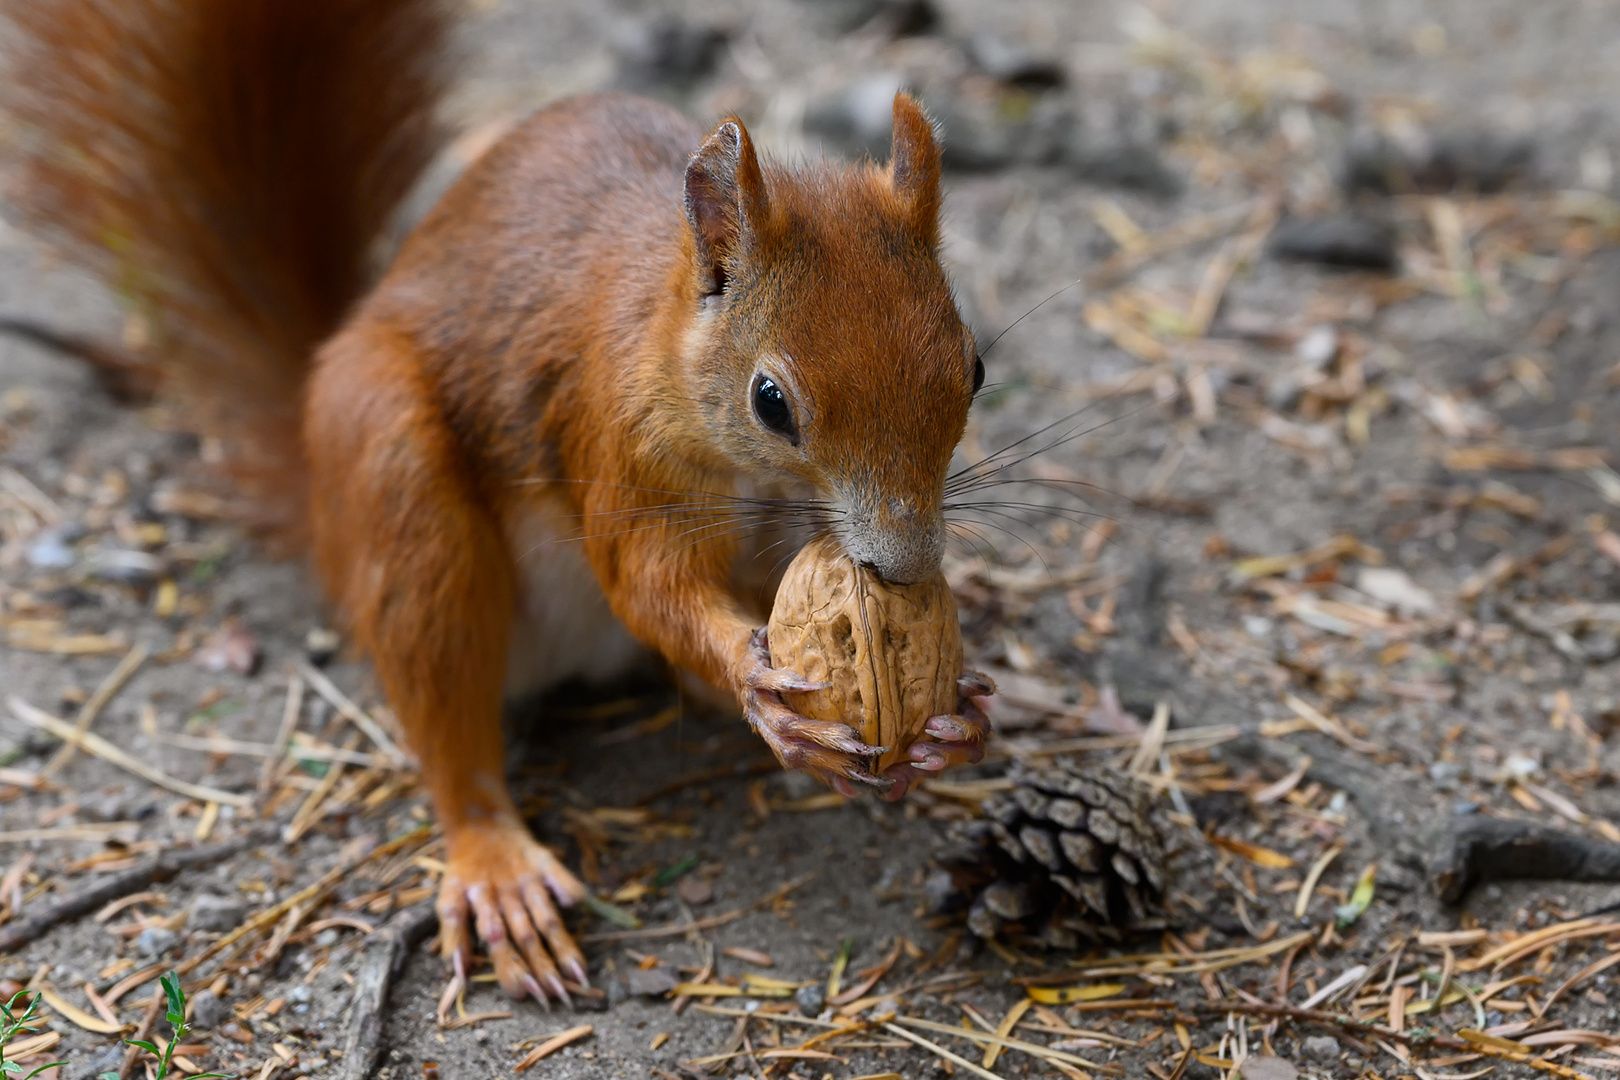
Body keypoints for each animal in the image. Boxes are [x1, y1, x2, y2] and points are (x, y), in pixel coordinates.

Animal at [6, 0, 991, 1003]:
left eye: (975, 368)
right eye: (772, 402)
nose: (907, 564)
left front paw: (957, 715)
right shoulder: (618, 444)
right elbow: (651, 588)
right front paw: (760, 682)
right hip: (397, 480)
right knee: (449, 717)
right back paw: (499, 866)